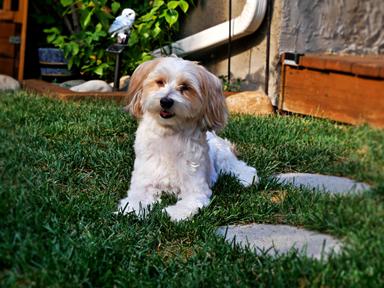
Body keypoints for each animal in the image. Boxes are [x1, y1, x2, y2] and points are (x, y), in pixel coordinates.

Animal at [117, 58, 258, 220]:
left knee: (238, 166)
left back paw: (248, 178)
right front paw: (132, 209)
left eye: (185, 87)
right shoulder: (143, 181)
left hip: (223, 157)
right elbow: (137, 197)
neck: (169, 134)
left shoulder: (196, 188)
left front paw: (174, 213)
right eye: (160, 82)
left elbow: (189, 202)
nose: (165, 101)